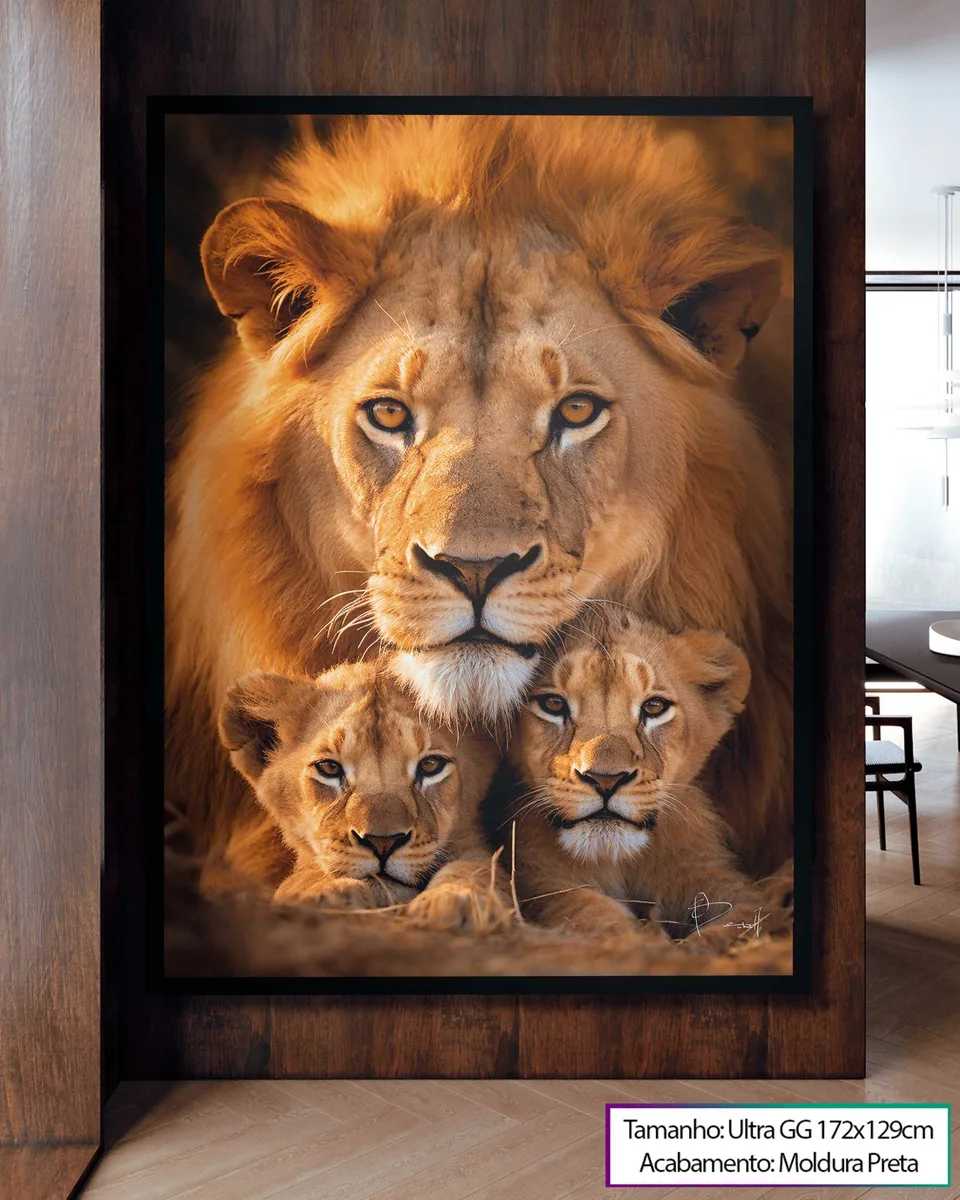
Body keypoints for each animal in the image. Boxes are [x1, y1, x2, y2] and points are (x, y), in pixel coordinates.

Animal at [217, 659, 509, 930]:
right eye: (329, 768)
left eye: (430, 765)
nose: (383, 844)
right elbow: (303, 875)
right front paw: (325, 893)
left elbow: (479, 867)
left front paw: (458, 899)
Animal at [506, 610, 774, 947]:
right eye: (553, 704)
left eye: (654, 707)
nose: (605, 780)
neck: (619, 860)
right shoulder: (540, 881)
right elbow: (587, 912)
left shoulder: (712, 876)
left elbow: (747, 919)